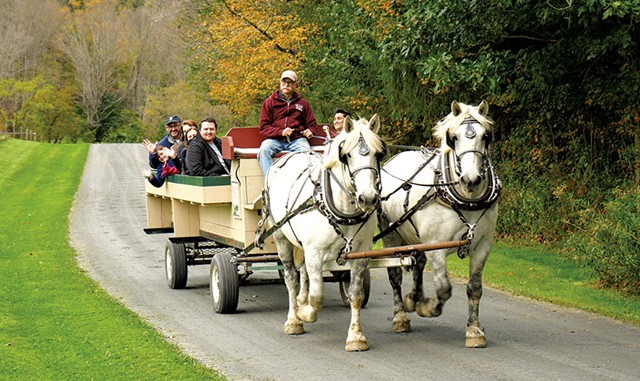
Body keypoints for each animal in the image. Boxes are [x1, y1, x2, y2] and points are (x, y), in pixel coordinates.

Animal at [260, 115, 384, 350]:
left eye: (377, 153)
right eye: (348, 155)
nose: (368, 198)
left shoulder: (360, 254)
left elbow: (356, 295)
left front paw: (356, 337)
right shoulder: (315, 252)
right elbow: (317, 297)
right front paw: (304, 312)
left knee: (303, 272)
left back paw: (301, 300)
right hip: (281, 237)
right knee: (291, 278)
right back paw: (293, 319)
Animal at [378, 101, 502, 348]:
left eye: (486, 136)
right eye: (454, 138)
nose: (471, 179)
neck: (467, 198)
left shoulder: (483, 245)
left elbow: (475, 288)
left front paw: (474, 330)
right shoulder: (436, 245)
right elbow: (444, 289)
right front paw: (428, 308)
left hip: (416, 237)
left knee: (418, 264)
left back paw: (413, 298)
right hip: (391, 234)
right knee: (395, 275)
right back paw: (401, 316)